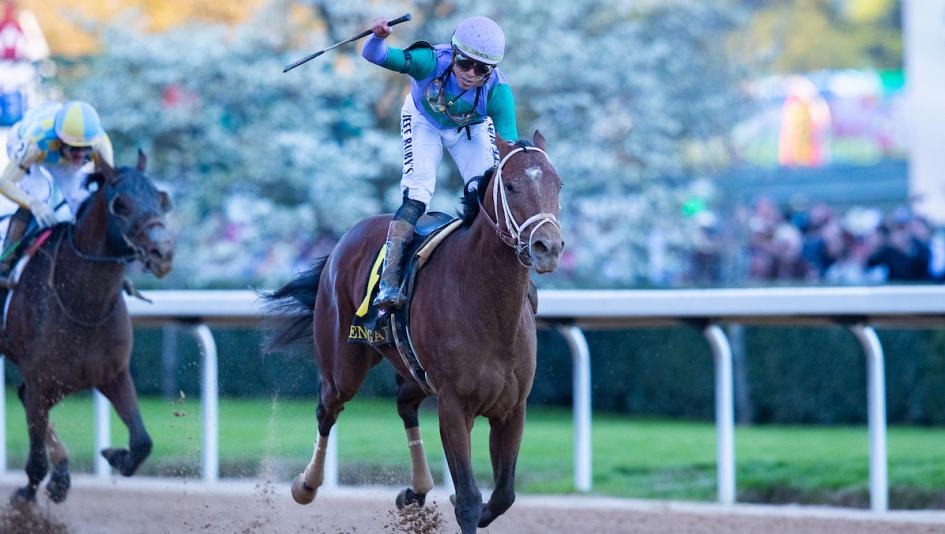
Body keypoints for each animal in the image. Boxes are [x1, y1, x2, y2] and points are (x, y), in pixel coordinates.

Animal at [0, 150, 174, 504]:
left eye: (160, 198)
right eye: (121, 204)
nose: (163, 252)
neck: (83, 304)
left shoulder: (113, 373)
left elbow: (142, 442)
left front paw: (112, 455)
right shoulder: (41, 383)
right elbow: (35, 463)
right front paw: (25, 499)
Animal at [264, 131, 564, 533]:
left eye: (557, 184)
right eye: (512, 186)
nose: (549, 246)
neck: (490, 310)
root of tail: (346, 238)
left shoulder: (512, 408)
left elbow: (503, 495)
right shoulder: (454, 404)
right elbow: (469, 500)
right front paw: (461, 501)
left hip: (412, 367)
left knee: (404, 404)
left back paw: (415, 490)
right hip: (343, 365)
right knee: (327, 407)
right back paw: (306, 485)